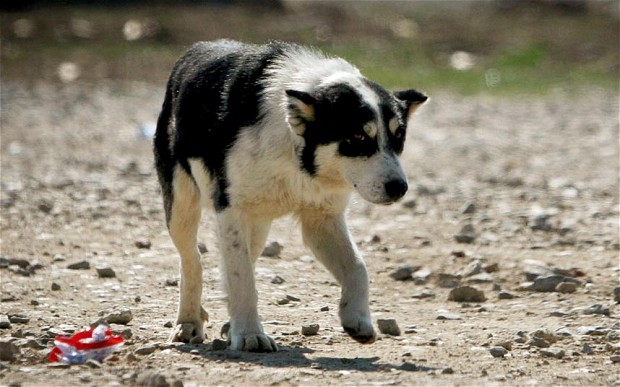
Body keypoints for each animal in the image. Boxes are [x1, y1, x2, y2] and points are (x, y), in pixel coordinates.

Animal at [154, 41, 426, 354]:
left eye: (399, 137)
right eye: (358, 136)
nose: (399, 188)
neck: (295, 150)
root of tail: (196, 49)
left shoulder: (322, 219)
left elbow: (358, 267)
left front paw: (356, 319)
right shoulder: (231, 212)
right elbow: (241, 278)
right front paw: (250, 334)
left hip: (257, 225)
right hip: (182, 207)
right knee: (192, 260)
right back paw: (188, 322)